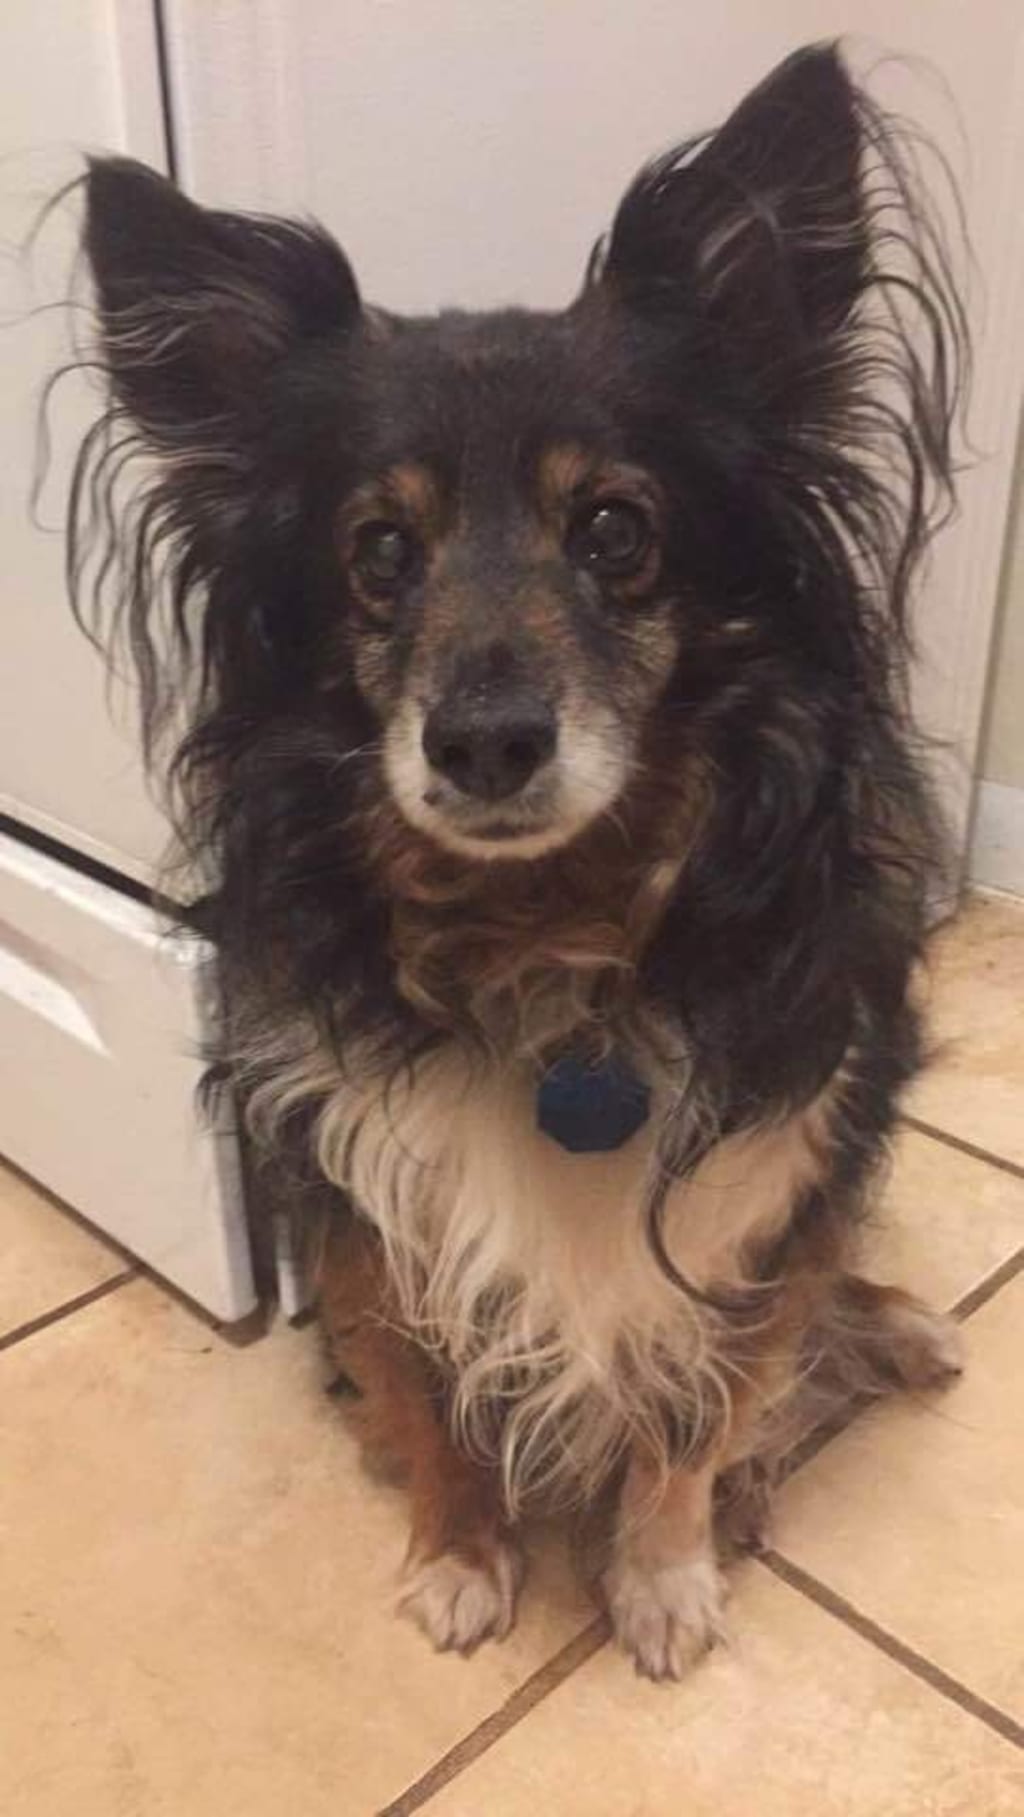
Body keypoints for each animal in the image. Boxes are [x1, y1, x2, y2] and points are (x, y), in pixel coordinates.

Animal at [66, 42, 968, 1679]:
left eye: (615, 529)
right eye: (378, 552)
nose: (485, 741)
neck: (547, 927)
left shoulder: (765, 1177)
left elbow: (701, 1410)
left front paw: (664, 1574)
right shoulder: (356, 1201)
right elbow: (424, 1402)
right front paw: (459, 1553)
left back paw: (895, 1328)